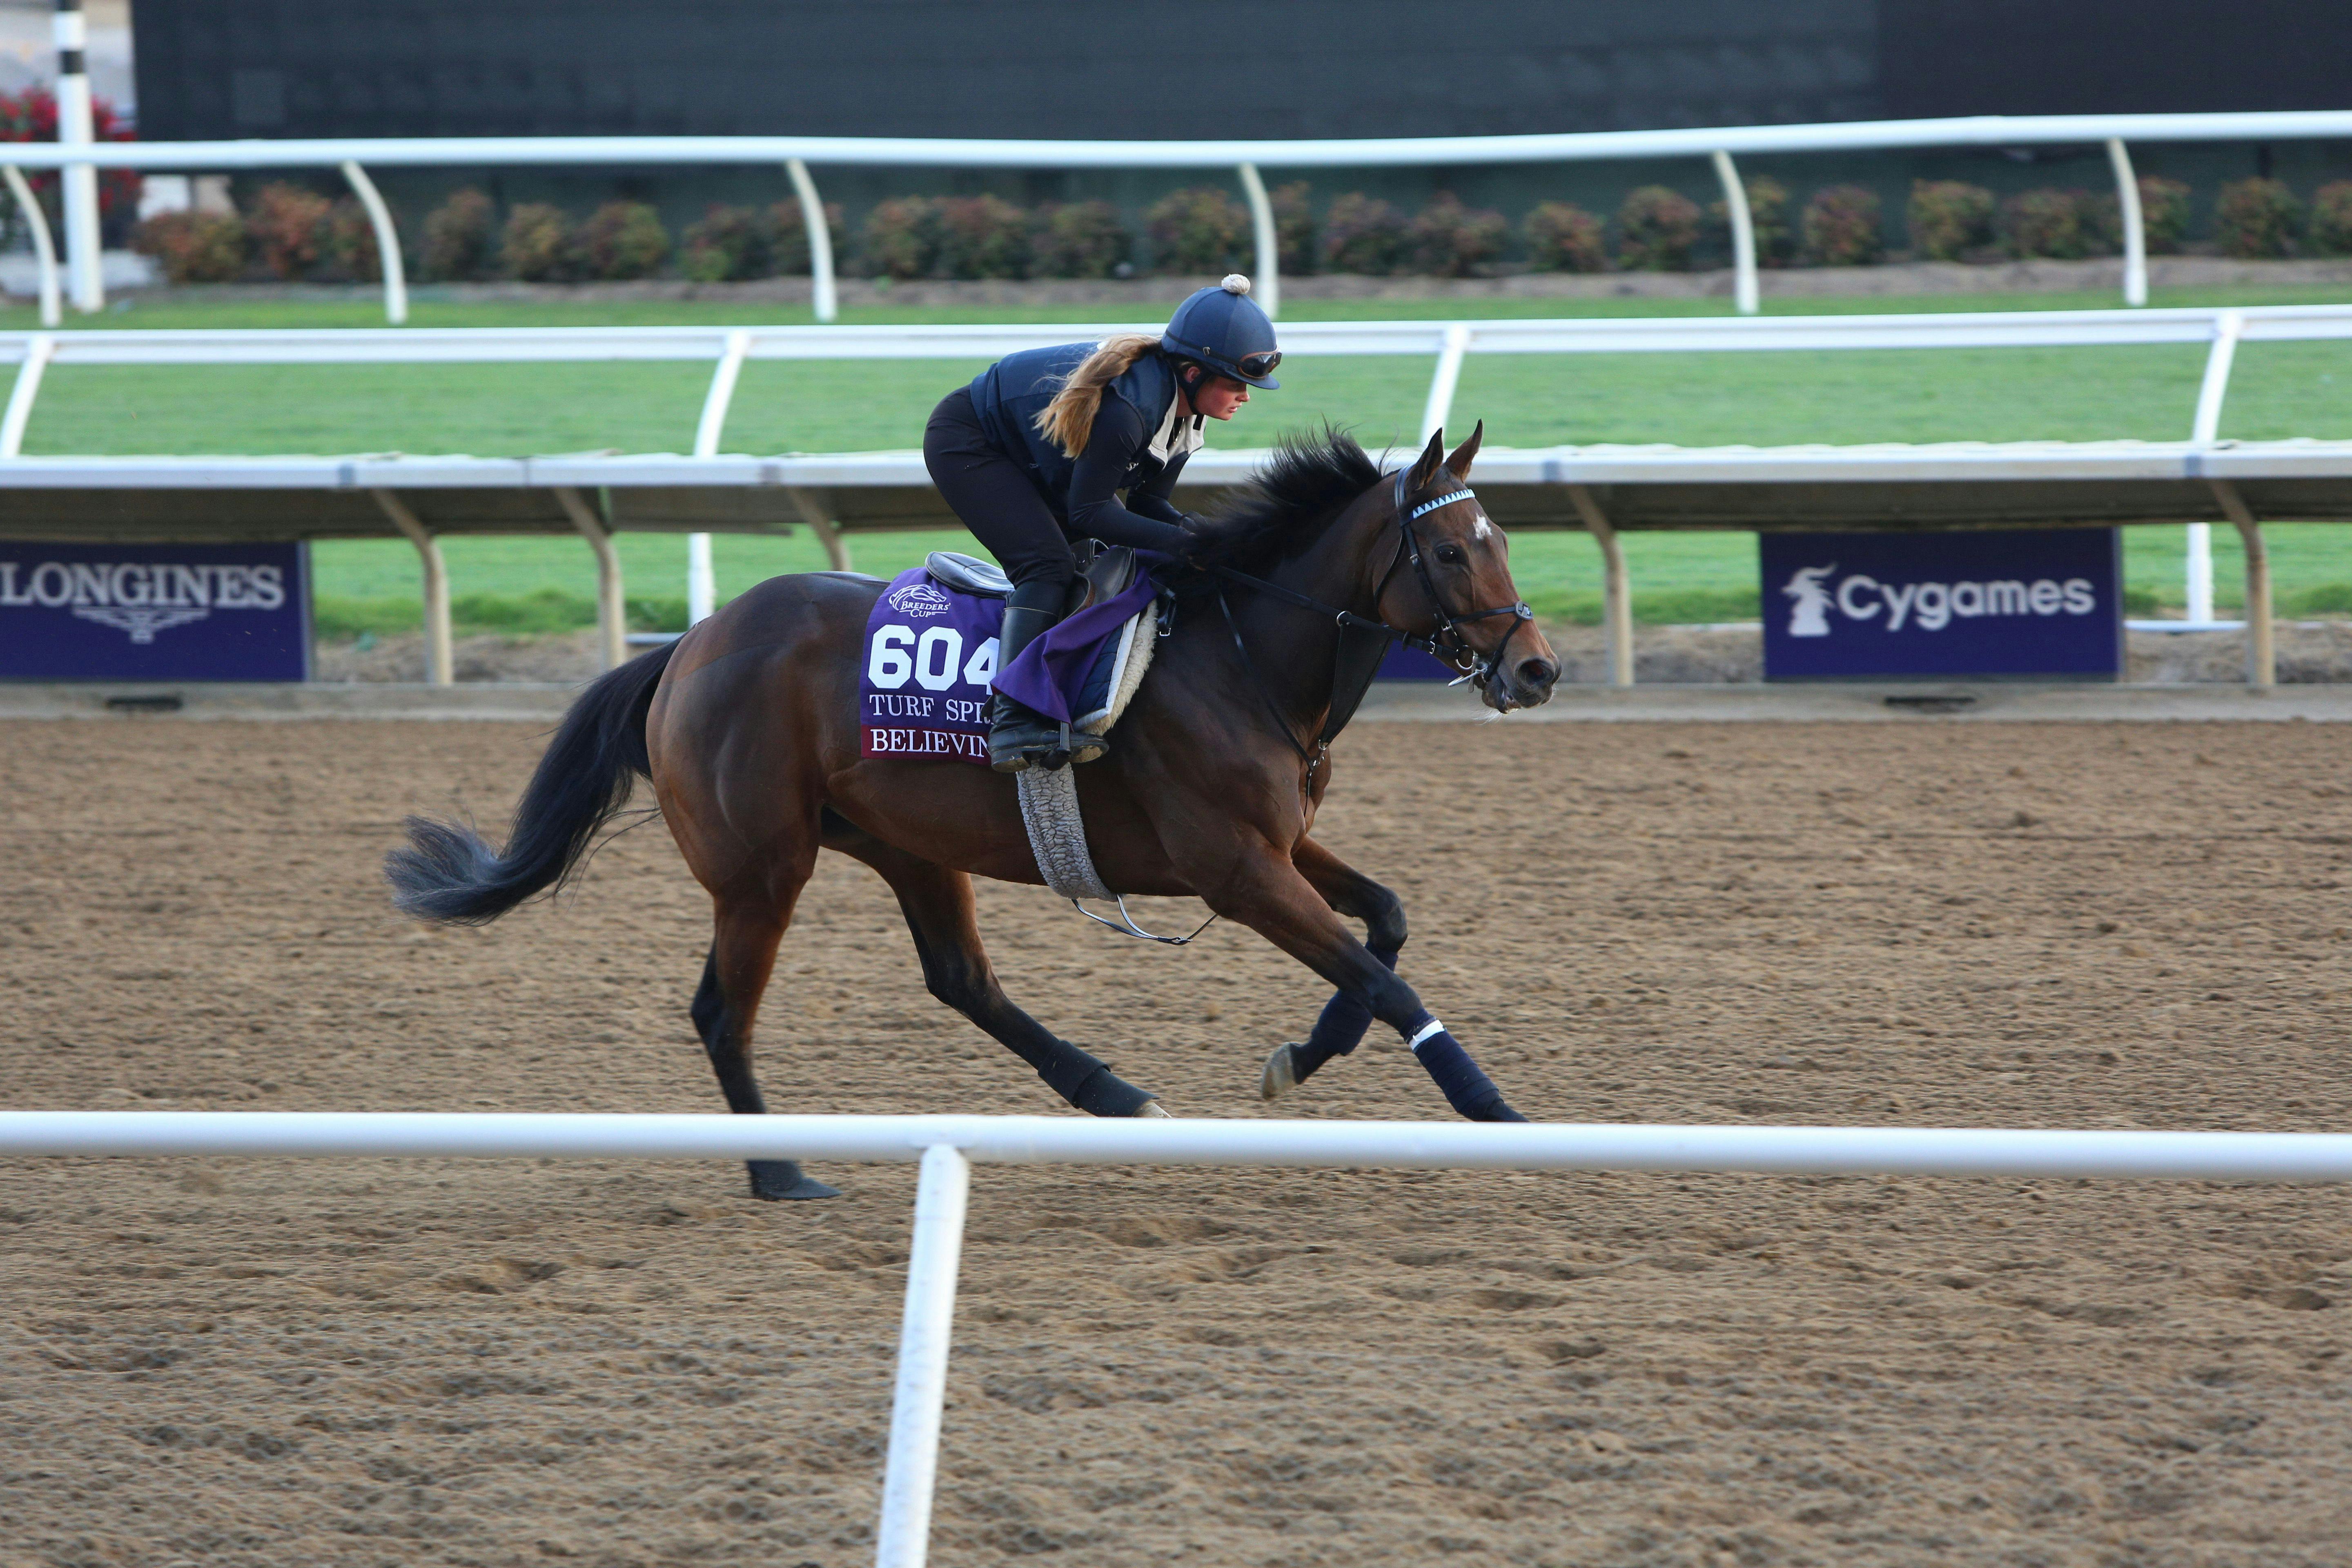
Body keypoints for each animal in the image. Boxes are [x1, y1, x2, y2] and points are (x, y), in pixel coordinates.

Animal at [385, 423, 1561, 1194]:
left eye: (1504, 541)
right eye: (1449, 550)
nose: (1538, 669)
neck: (1241, 653)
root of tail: (689, 645)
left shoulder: (1281, 844)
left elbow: (1387, 927)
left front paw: (1305, 1055)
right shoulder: (1234, 867)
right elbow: (1380, 976)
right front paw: (1491, 1107)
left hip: (908, 844)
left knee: (961, 979)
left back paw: (1111, 1093)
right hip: (762, 865)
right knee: (724, 1010)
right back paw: (779, 1170)